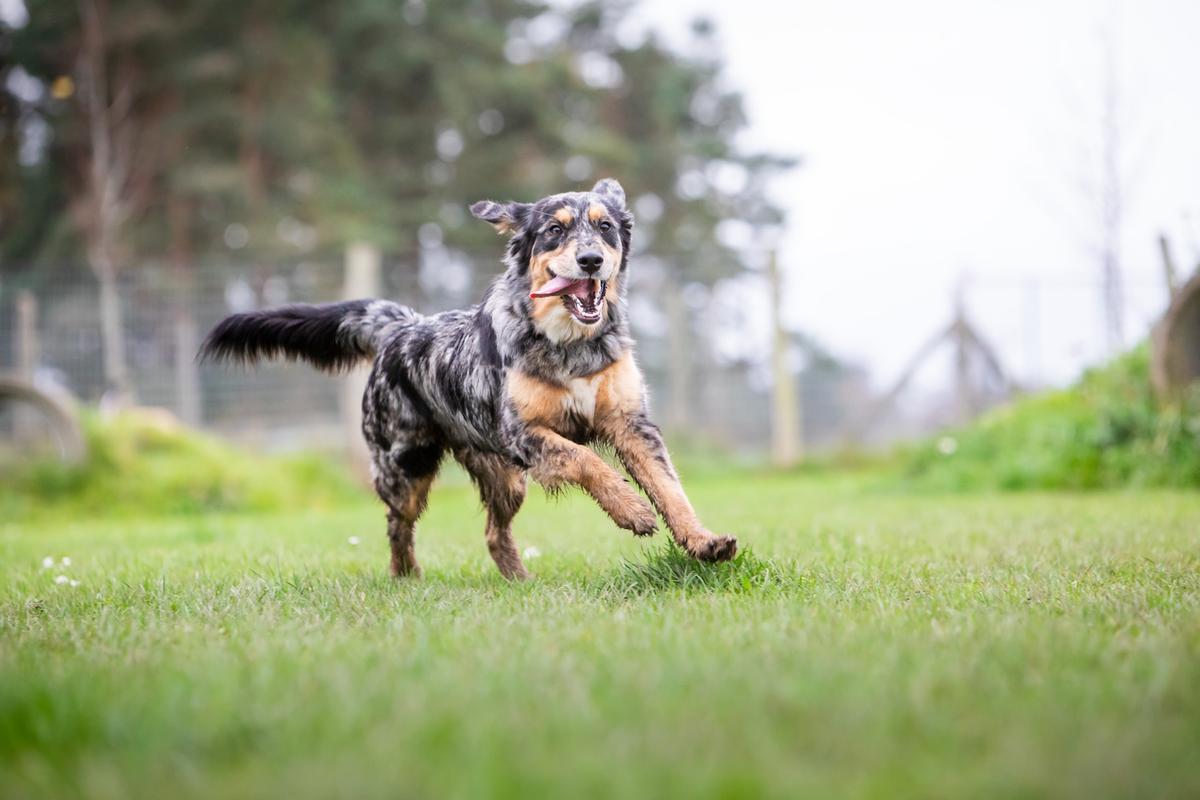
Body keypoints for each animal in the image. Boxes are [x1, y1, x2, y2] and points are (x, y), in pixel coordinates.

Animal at [201, 179, 734, 582]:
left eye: (605, 227)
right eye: (554, 231)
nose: (590, 260)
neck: (568, 344)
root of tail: (403, 325)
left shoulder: (631, 423)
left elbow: (671, 490)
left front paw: (703, 541)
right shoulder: (525, 434)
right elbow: (588, 461)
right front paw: (632, 510)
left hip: (505, 477)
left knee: (494, 535)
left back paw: (520, 582)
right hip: (407, 466)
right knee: (397, 525)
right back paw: (406, 578)